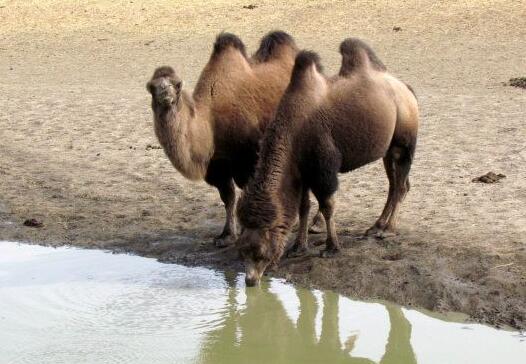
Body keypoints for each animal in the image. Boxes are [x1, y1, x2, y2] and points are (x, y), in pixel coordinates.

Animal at [148, 31, 306, 247]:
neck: (210, 123)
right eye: (151, 87)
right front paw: (226, 235)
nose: (165, 94)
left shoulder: (247, 160)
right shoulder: (217, 166)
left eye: (177, 85)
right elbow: (228, 197)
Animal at [238, 39, 420, 284]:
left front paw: (331, 248)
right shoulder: (301, 171)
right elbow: (303, 207)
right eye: (242, 251)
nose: (250, 280)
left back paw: (388, 230)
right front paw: (298, 247)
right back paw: (375, 226)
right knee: (395, 184)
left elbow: (327, 205)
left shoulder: (323, 169)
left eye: (260, 253)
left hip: (403, 141)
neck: (294, 130)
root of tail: (407, 90)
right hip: (387, 149)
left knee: (400, 185)